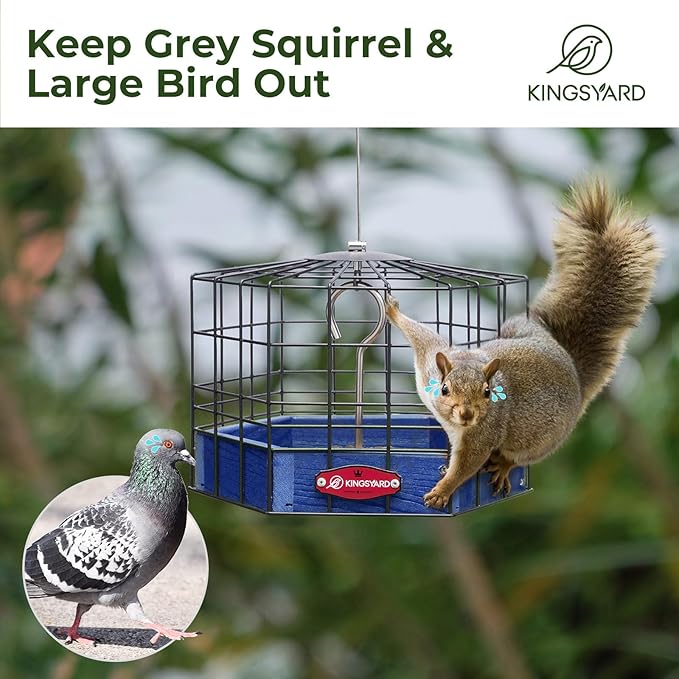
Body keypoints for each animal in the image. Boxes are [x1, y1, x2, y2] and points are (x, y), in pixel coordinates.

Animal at [386, 179, 661, 510]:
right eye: (444, 389)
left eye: (487, 392)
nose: (467, 415)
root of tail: (573, 372)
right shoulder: (429, 360)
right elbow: (421, 335)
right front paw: (392, 310)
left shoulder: (483, 435)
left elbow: (466, 465)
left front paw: (442, 491)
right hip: (517, 326)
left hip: (539, 441)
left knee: (519, 457)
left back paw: (504, 466)